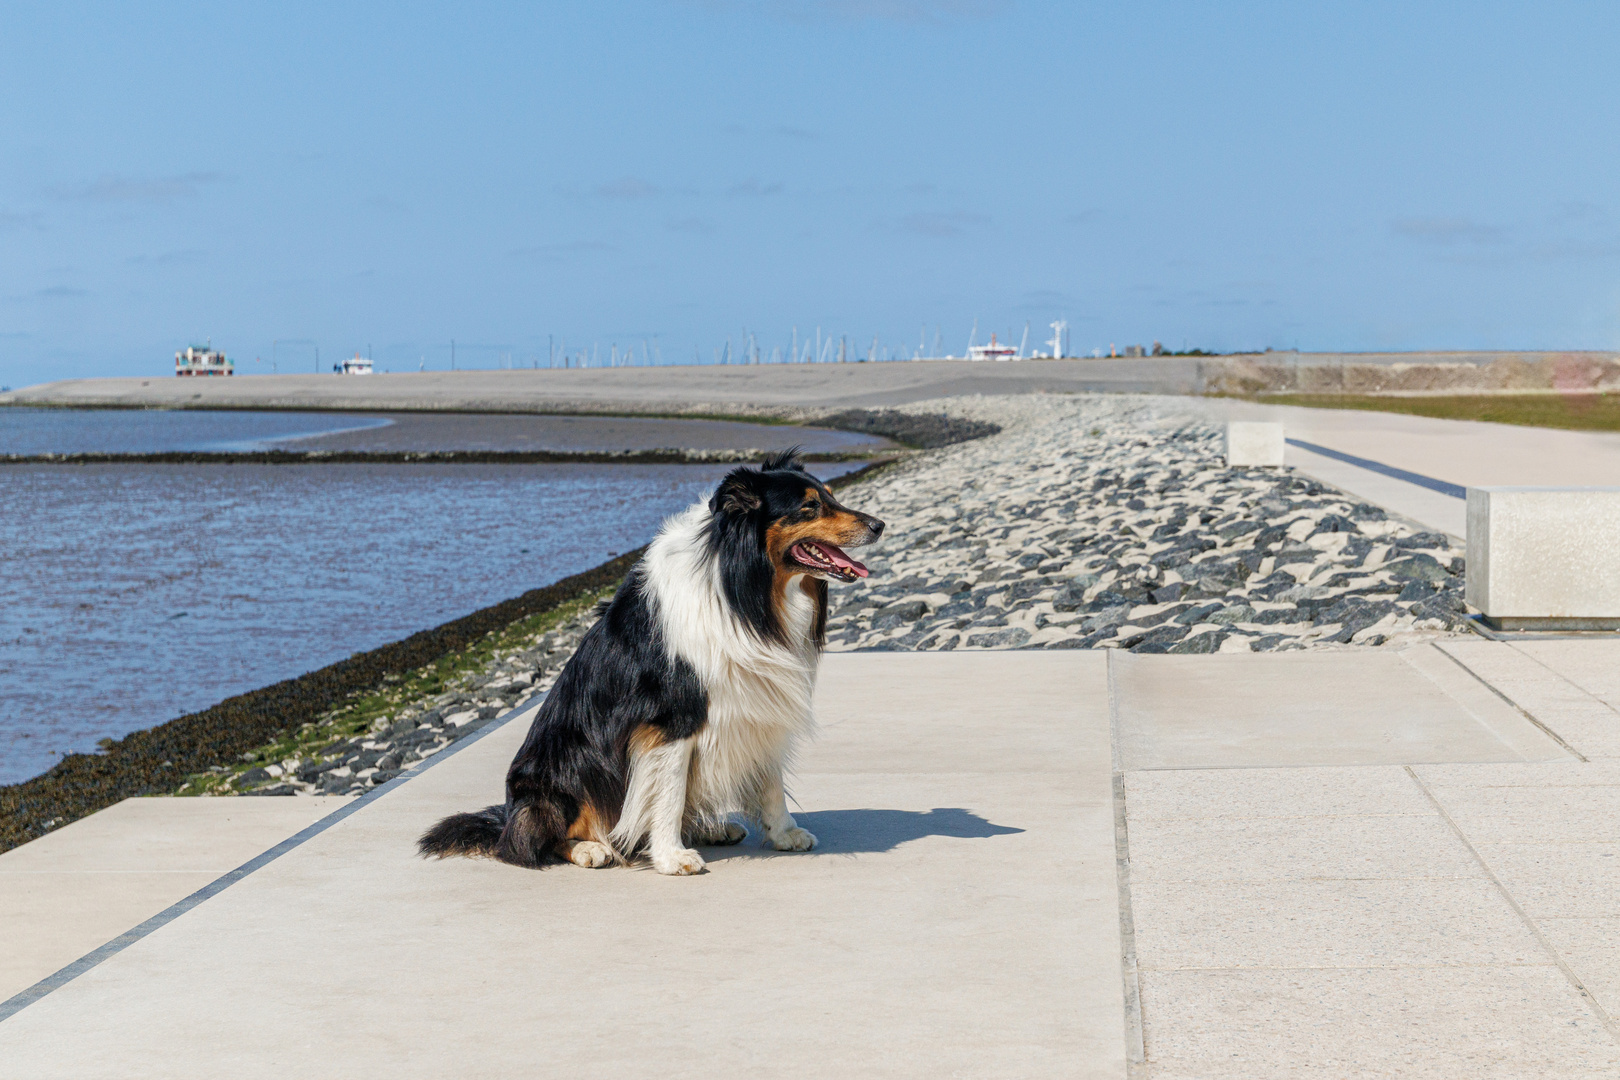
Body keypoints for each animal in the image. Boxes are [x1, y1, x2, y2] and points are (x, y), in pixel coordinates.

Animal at [411, 453, 881, 874]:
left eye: (832, 496)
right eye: (809, 506)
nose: (879, 525)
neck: (745, 589)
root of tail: (505, 815)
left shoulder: (758, 697)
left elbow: (770, 782)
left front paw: (784, 833)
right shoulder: (671, 719)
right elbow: (668, 792)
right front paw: (671, 857)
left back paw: (709, 829)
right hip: (564, 767)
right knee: (531, 839)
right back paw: (590, 848)